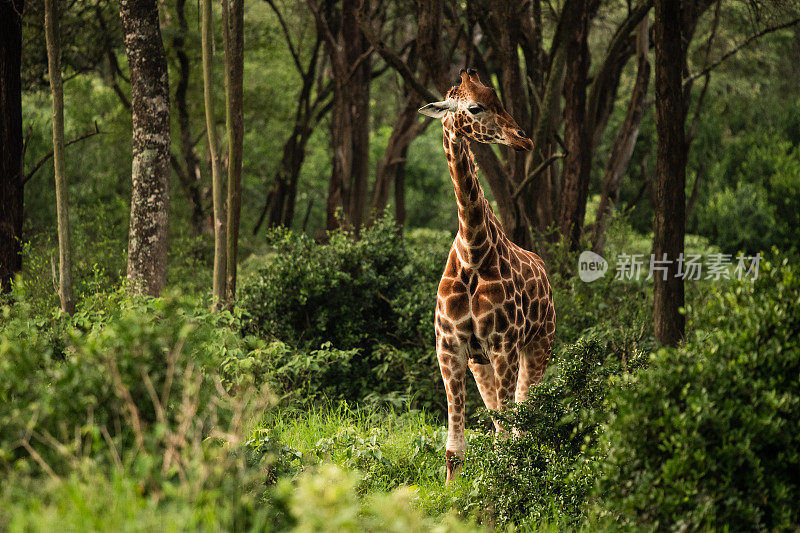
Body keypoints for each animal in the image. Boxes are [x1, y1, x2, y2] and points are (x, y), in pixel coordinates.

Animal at [418, 68, 556, 480]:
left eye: (500, 100)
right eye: (475, 107)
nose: (523, 138)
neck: (473, 252)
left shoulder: (504, 346)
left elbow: (508, 436)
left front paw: (503, 490)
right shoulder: (451, 349)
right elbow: (454, 448)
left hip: (539, 345)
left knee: (522, 422)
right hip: (481, 364)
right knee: (499, 421)